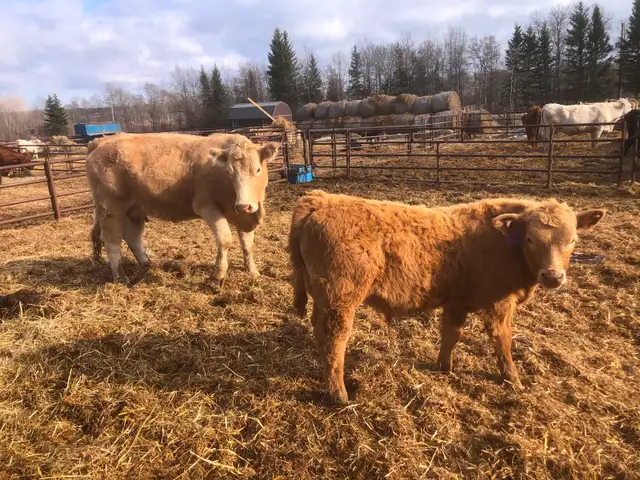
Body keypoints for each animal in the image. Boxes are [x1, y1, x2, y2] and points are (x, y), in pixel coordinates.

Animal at [87, 133, 279, 284]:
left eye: (258, 170)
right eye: (230, 172)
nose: (243, 205)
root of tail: (100, 142)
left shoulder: (246, 214)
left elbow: (247, 244)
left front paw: (253, 271)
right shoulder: (207, 208)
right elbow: (225, 240)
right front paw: (217, 275)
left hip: (134, 210)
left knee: (132, 237)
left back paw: (148, 264)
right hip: (110, 209)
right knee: (112, 241)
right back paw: (120, 277)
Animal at [289, 190, 606, 404]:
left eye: (573, 239)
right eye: (530, 239)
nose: (552, 276)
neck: (503, 243)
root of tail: (320, 199)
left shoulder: (457, 301)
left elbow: (452, 334)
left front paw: (444, 367)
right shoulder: (499, 304)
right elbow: (502, 341)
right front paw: (513, 379)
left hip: (325, 299)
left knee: (320, 332)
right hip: (341, 299)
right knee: (335, 341)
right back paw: (339, 394)